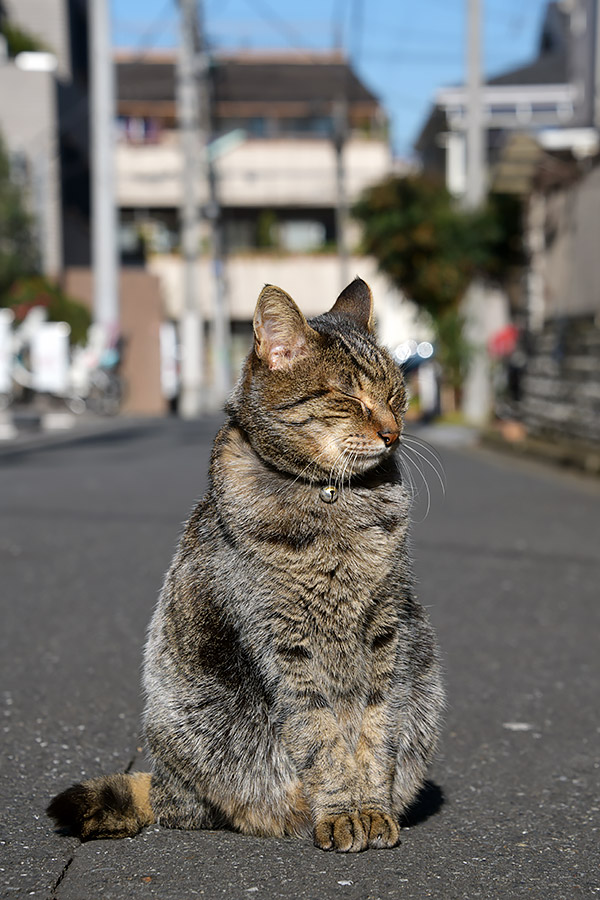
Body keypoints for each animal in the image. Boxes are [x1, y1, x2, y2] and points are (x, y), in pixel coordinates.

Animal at [48, 278, 446, 856]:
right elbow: (321, 734)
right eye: (349, 396)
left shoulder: (385, 630)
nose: (393, 432)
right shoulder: (284, 641)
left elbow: (375, 726)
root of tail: (160, 778)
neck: (333, 503)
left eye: (396, 394)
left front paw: (372, 808)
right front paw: (342, 812)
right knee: (192, 807)